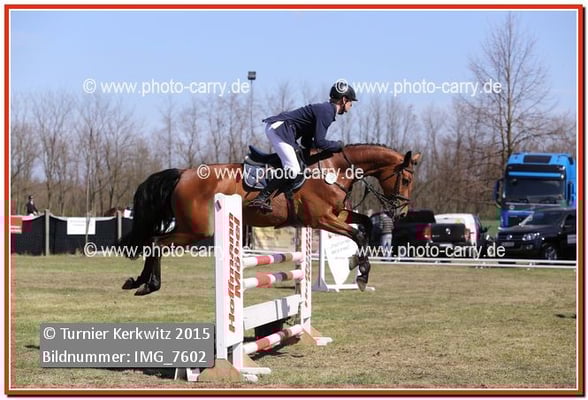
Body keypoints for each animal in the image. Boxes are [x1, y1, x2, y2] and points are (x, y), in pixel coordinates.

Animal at [118, 144, 421, 295]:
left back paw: (136, 281)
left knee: (152, 241)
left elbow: (365, 226)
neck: (333, 169)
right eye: (405, 180)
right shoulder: (322, 219)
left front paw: (357, 265)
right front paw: (361, 272)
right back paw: (149, 285)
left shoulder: (337, 214)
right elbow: (358, 234)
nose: (402, 212)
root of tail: (183, 173)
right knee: (156, 243)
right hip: (195, 230)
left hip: (190, 229)